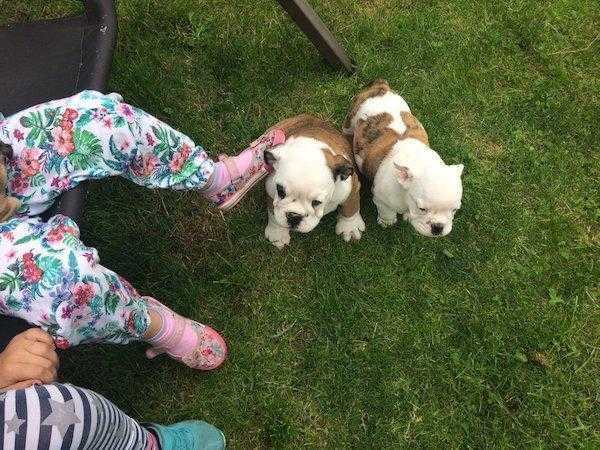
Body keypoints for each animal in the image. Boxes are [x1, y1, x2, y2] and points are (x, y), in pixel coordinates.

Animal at [264, 115, 366, 250]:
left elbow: (351, 207)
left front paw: (350, 227)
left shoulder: (350, 189)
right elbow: (273, 211)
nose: (294, 216)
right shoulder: (270, 189)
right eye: (280, 192)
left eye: (316, 202)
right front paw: (278, 233)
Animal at [342, 79, 464, 237]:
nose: (438, 227)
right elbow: (387, 212)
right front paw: (387, 222)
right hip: (351, 118)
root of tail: (381, 87)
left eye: (454, 210)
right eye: (422, 209)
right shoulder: (382, 200)